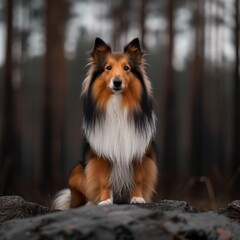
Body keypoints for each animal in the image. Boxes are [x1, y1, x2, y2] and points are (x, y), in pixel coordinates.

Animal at [52, 37, 158, 208]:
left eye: (126, 68)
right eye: (108, 68)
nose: (117, 82)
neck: (118, 103)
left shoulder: (139, 150)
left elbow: (138, 178)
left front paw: (137, 198)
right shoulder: (101, 153)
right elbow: (103, 180)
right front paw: (105, 200)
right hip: (76, 170)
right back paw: (90, 202)